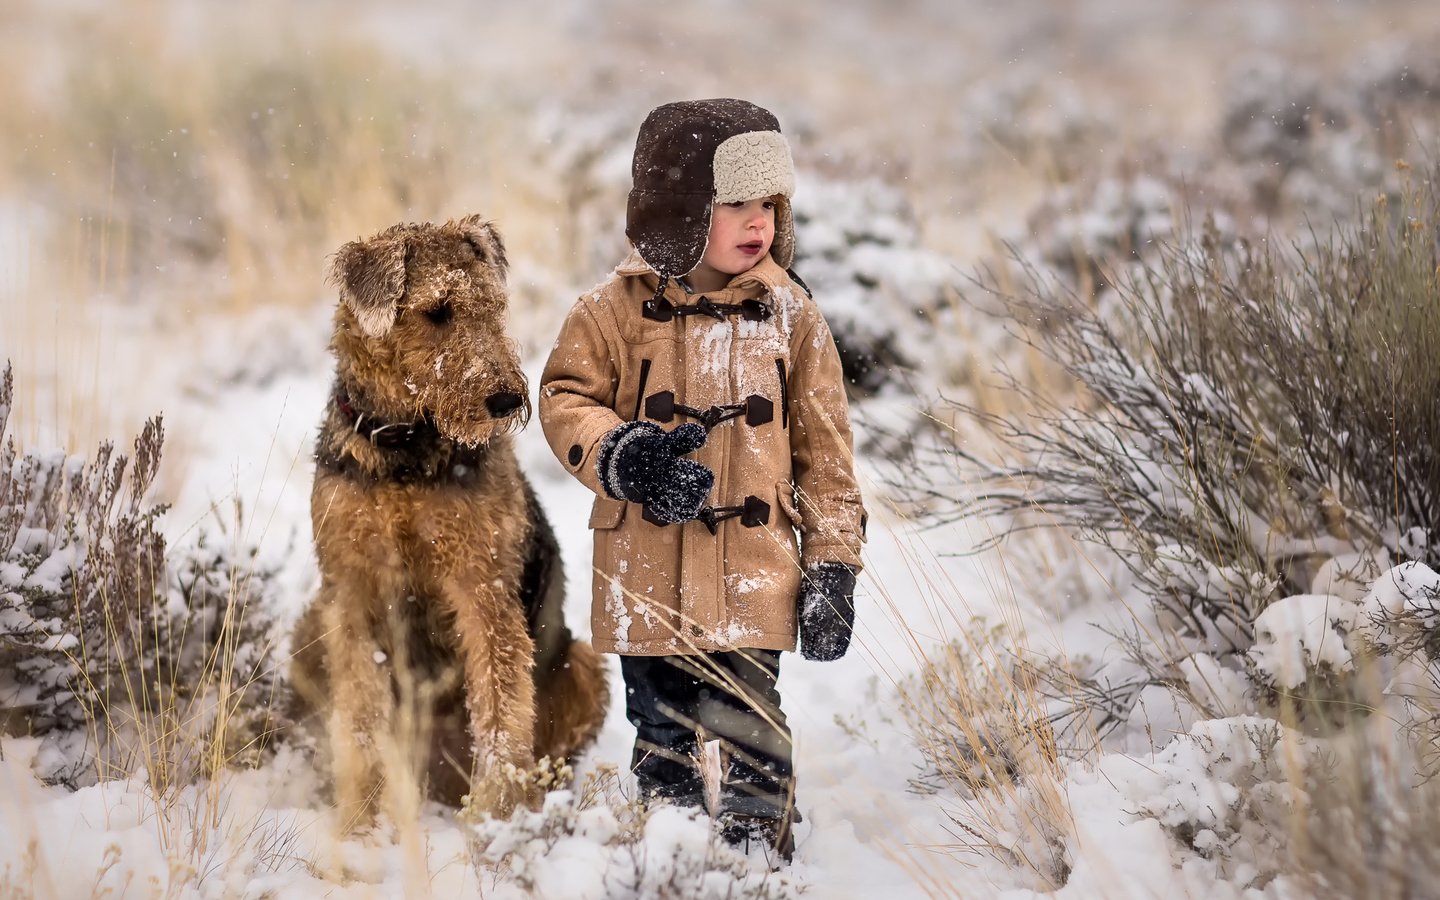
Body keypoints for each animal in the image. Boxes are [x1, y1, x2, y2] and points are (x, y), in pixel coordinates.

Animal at [292, 211, 607, 829]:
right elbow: (360, 718)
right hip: (310, 626)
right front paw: (360, 825)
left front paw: (495, 817)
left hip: (582, 666)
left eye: (494, 306)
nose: (507, 399)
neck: (405, 448)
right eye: (437, 311)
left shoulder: (481, 587)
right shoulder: (351, 592)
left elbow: (501, 715)